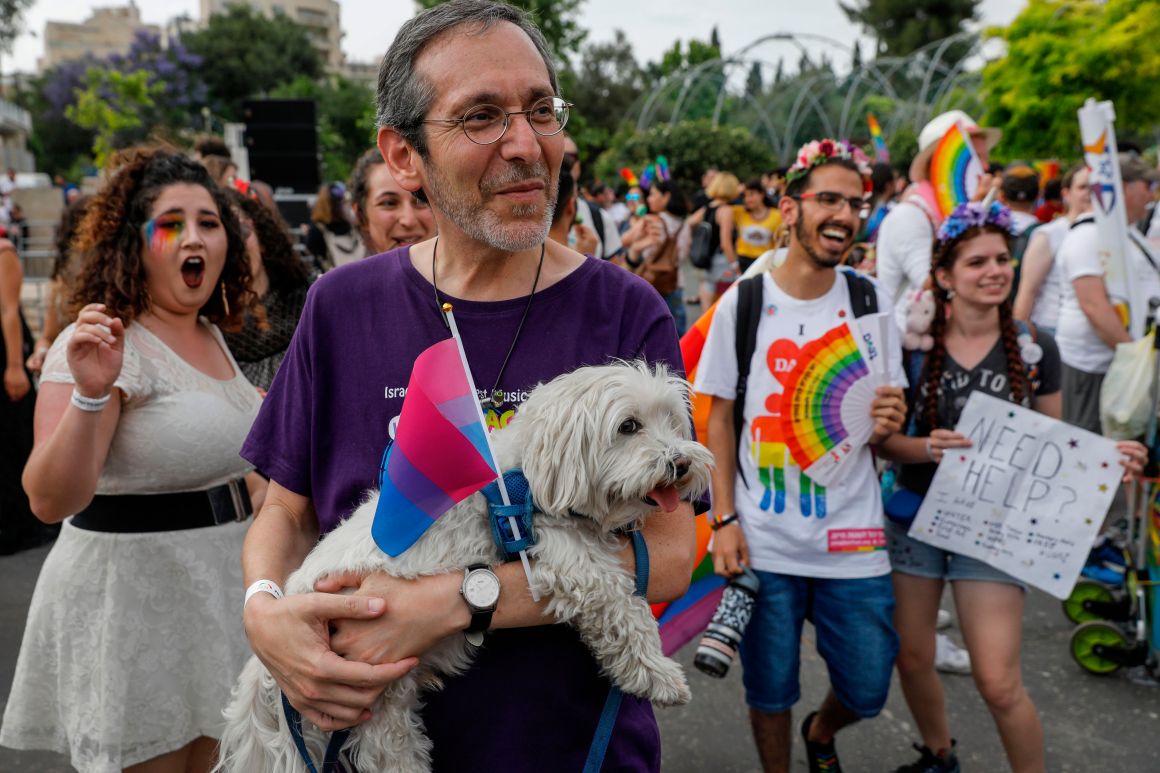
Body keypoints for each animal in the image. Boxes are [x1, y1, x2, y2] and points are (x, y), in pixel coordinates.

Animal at [213, 362, 709, 770]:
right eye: (629, 426)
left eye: (671, 421)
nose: (682, 462)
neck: (525, 478)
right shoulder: (568, 559)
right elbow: (626, 614)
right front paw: (661, 678)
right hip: (376, 699)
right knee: (388, 753)